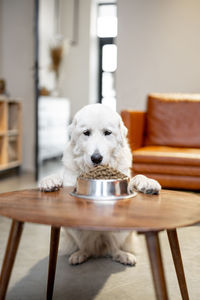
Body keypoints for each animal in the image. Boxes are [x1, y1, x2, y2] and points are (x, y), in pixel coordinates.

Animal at [39, 104, 161, 266]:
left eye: (107, 133)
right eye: (86, 133)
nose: (96, 158)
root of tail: (100, 248)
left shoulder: (126, 177)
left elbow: (137, 177)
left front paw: (148, 182)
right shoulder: (70, 180)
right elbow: (59, 176)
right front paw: (49, 181)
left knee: (113, 248)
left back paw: (123, 256)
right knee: (86, 247)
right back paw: (80, 255)